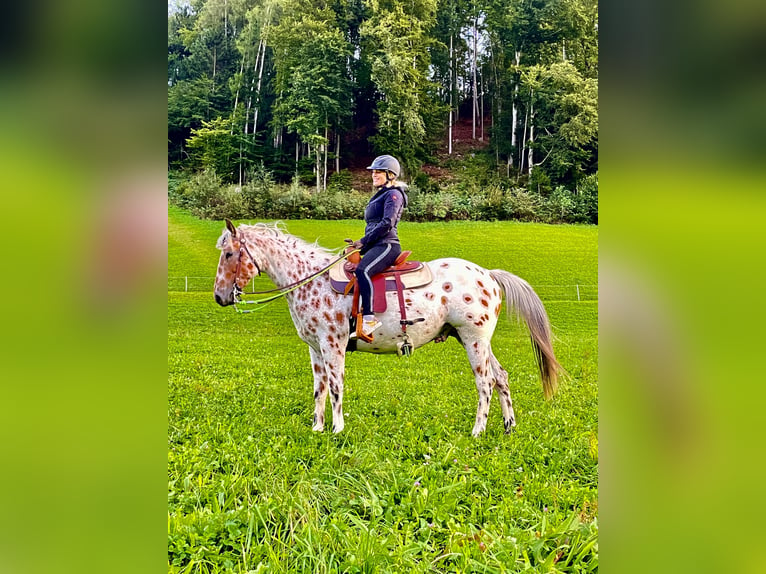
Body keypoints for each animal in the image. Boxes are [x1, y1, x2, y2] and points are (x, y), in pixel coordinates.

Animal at [216, 220, 564, 436]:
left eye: (230, 253)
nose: (220, 297)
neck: (312, 280)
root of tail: (488, 275)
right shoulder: (315, 348)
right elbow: (320, 388)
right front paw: (317, 428)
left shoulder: (333, 343)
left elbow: (337, 386)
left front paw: (337, 429)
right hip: (478, 341)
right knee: (501, 377)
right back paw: (508, 426)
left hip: (473, 339)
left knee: (486, 382)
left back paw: (478, 430)